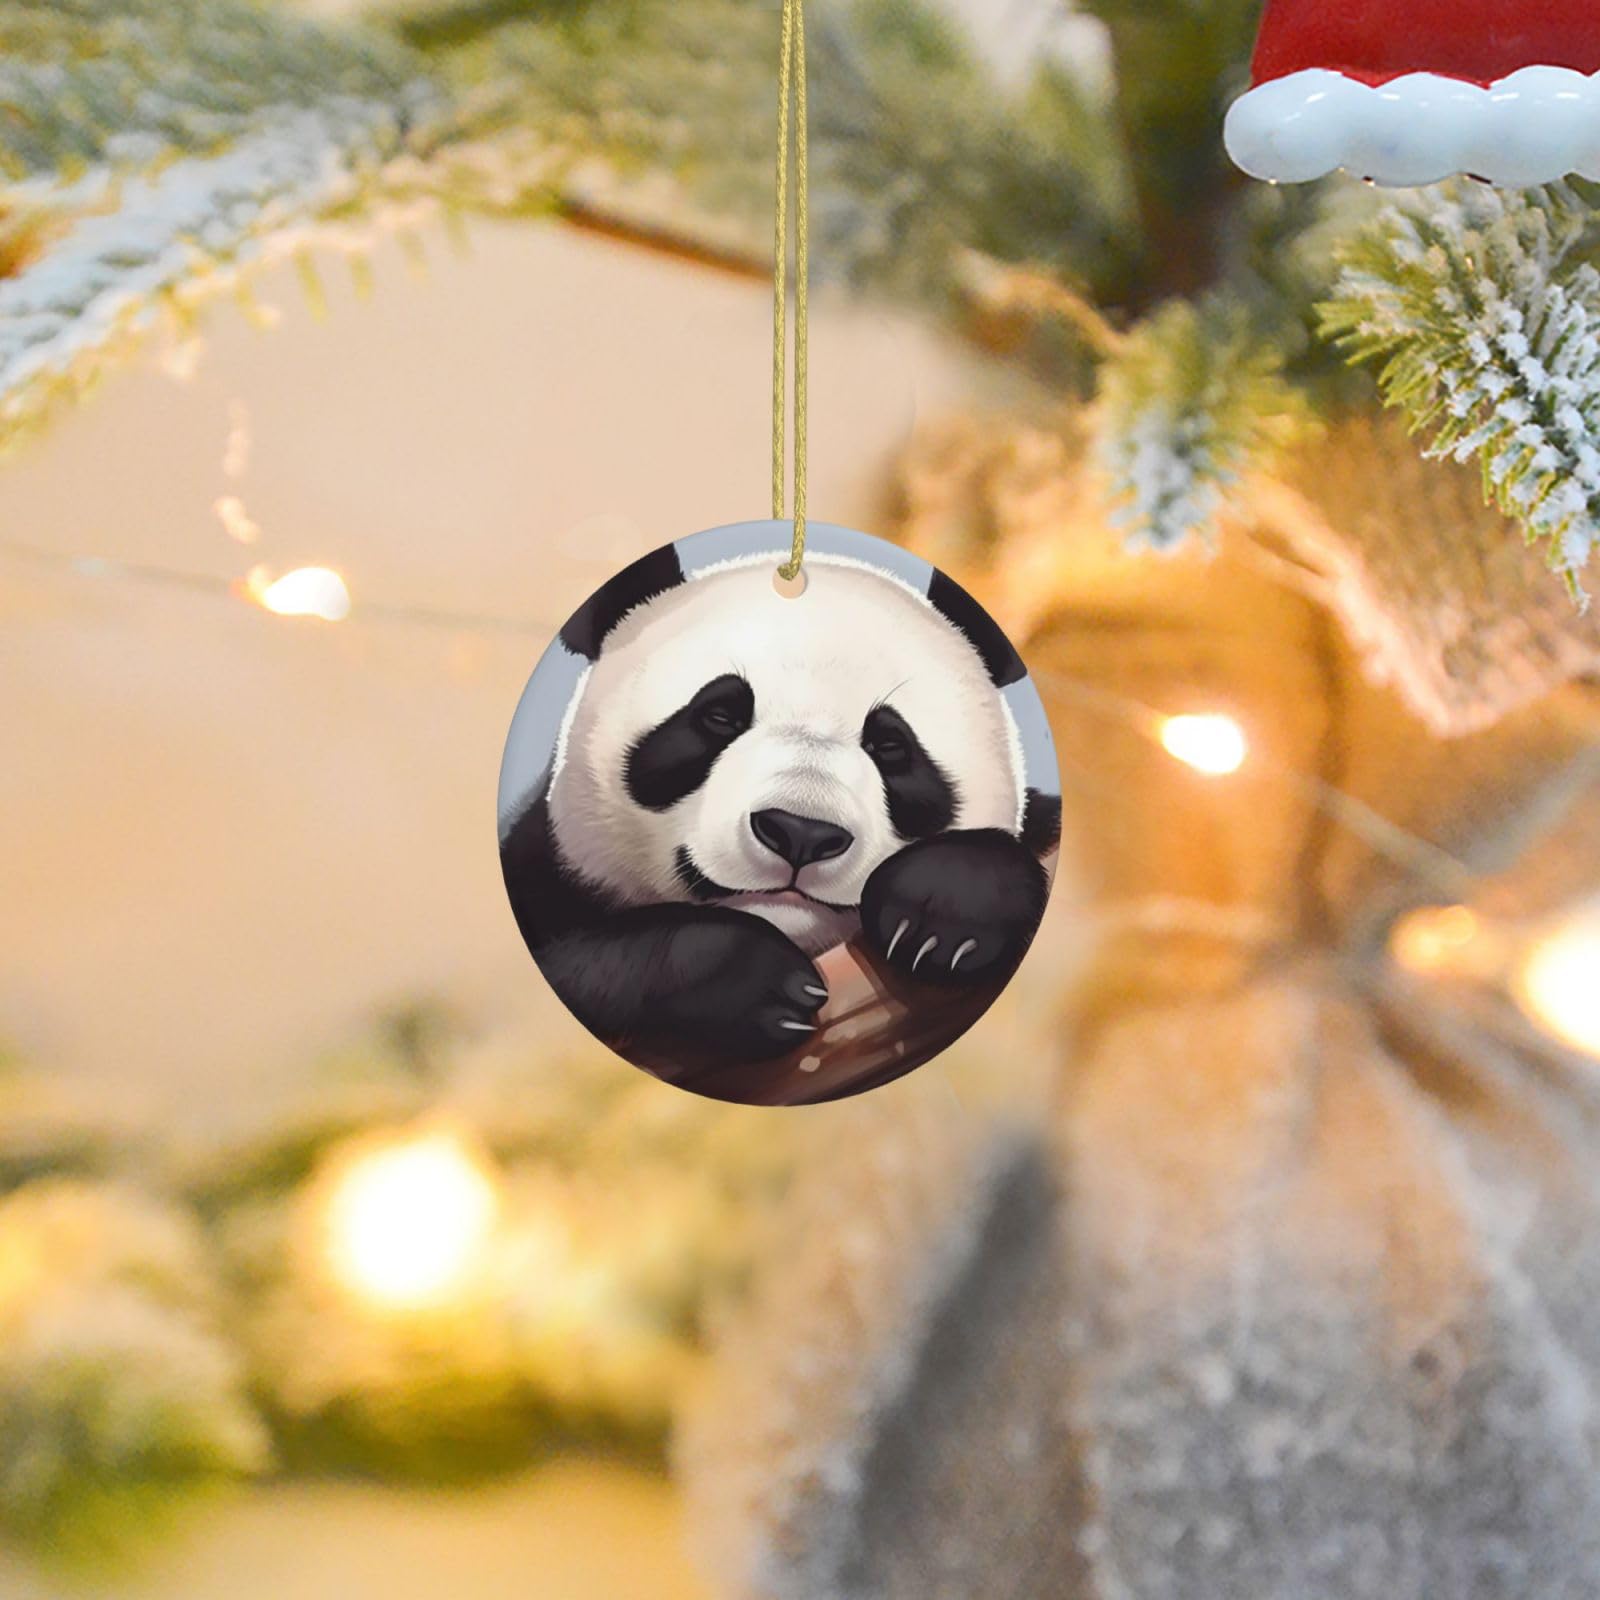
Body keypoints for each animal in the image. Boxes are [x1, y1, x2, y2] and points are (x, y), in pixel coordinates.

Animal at [499, 522, 1061, 1095]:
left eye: (890, 746)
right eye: (719, 716)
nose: (801, 833)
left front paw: (943, 913)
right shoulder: (544, 870)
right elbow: (577, 965)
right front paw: (756, 985)